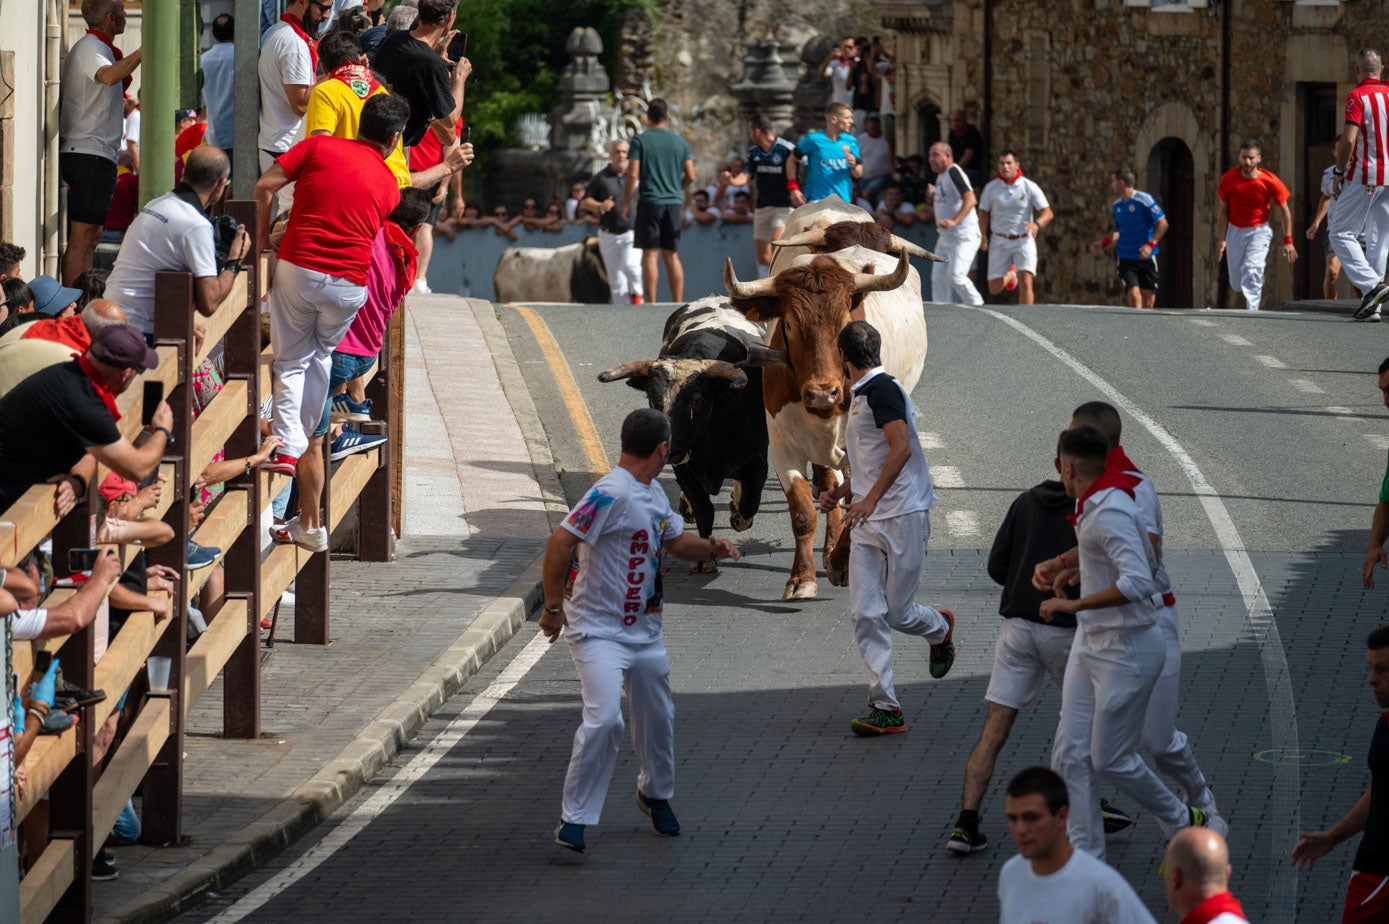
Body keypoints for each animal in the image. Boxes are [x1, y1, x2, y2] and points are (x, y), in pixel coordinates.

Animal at [600, 295, 788, 569]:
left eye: (697, 400)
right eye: (652, 396)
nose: (668, 448)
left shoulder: (757, 461)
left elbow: (748, 504)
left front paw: (736, 513)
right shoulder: (684, 467)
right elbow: (703, 509)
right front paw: (703, 558)